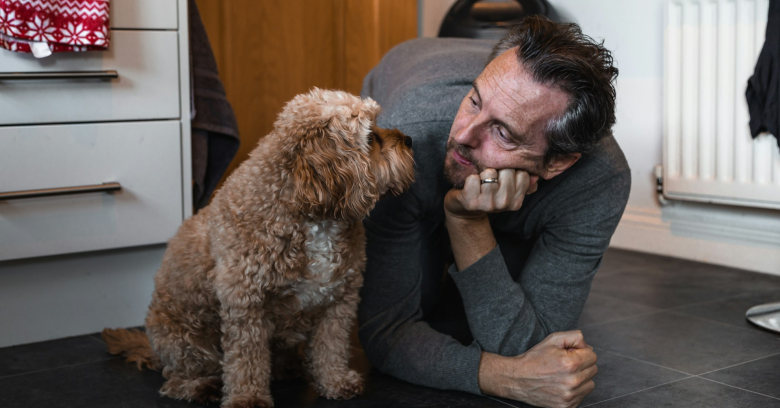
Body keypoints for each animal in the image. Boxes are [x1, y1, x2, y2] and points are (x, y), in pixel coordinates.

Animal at [106, 87, 418, 406]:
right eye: (371, 137)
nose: (410, 140)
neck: (314, 215)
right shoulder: (246, 302)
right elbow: (247, 360)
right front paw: (248, 398)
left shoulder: (339, 299)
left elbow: (331, 346)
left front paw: (335, 381)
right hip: (187, 341)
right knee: (177, 378)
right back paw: (199, 386)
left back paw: (288, 366)